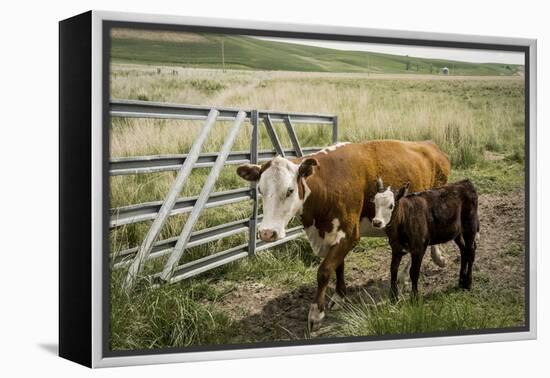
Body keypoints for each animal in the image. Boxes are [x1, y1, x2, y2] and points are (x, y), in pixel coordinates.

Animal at [235, 140, 450, 330]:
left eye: (289, 190)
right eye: (260, 189)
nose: (267, 233)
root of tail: (429, 145)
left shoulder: (350, 234)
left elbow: (324, 271)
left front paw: (316, 314)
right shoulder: (333, 236)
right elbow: (338, 266)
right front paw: (339, 296)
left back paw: (425, 265)